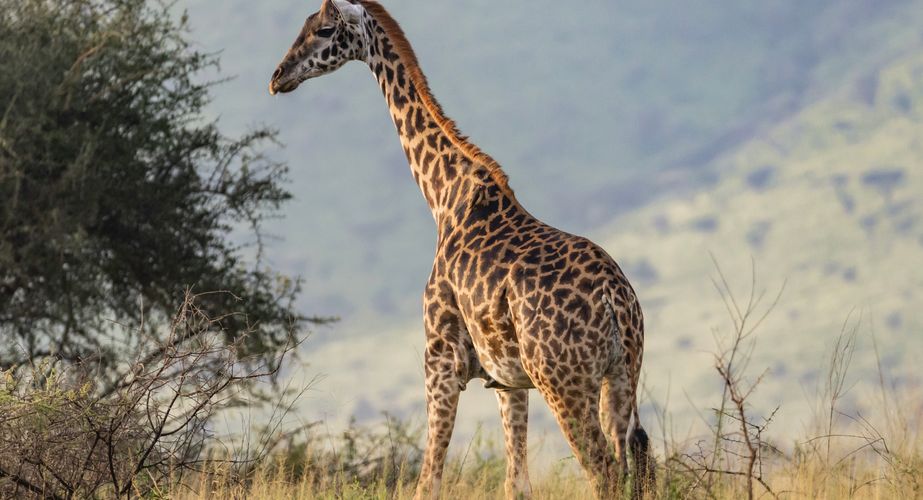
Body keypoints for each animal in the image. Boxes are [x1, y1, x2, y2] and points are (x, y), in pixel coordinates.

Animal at [269, 1, 654, 498]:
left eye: (323, 29)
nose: (278, 76)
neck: (445, 197)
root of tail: (615, 299)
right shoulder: (508, 380)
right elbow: (515, 482)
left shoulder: (440, 358)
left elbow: (427, 481)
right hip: (622, 375)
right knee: (633, 465)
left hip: (565, 384)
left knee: (604, 473)